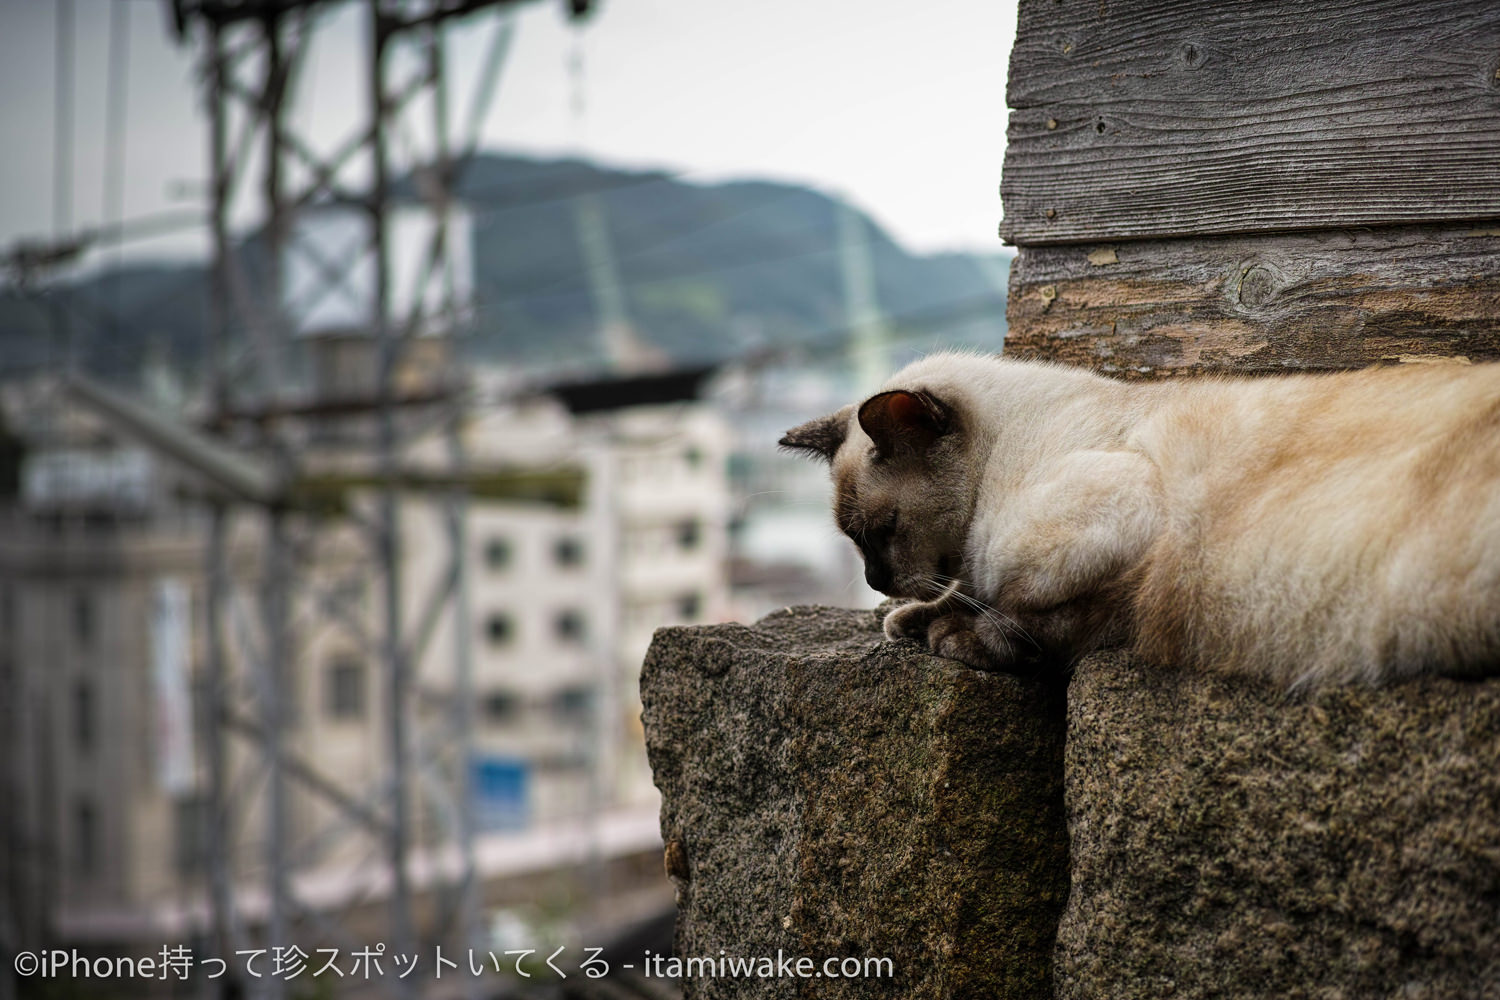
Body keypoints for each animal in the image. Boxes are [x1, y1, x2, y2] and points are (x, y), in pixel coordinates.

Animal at [780, 352, 1500, 689]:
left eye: (882, 531)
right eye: (853, 542)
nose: (874, 583)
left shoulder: (1123, 530)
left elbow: (1031, 618)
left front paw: (950, 636)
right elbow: (964, 596)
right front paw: (906, 621)